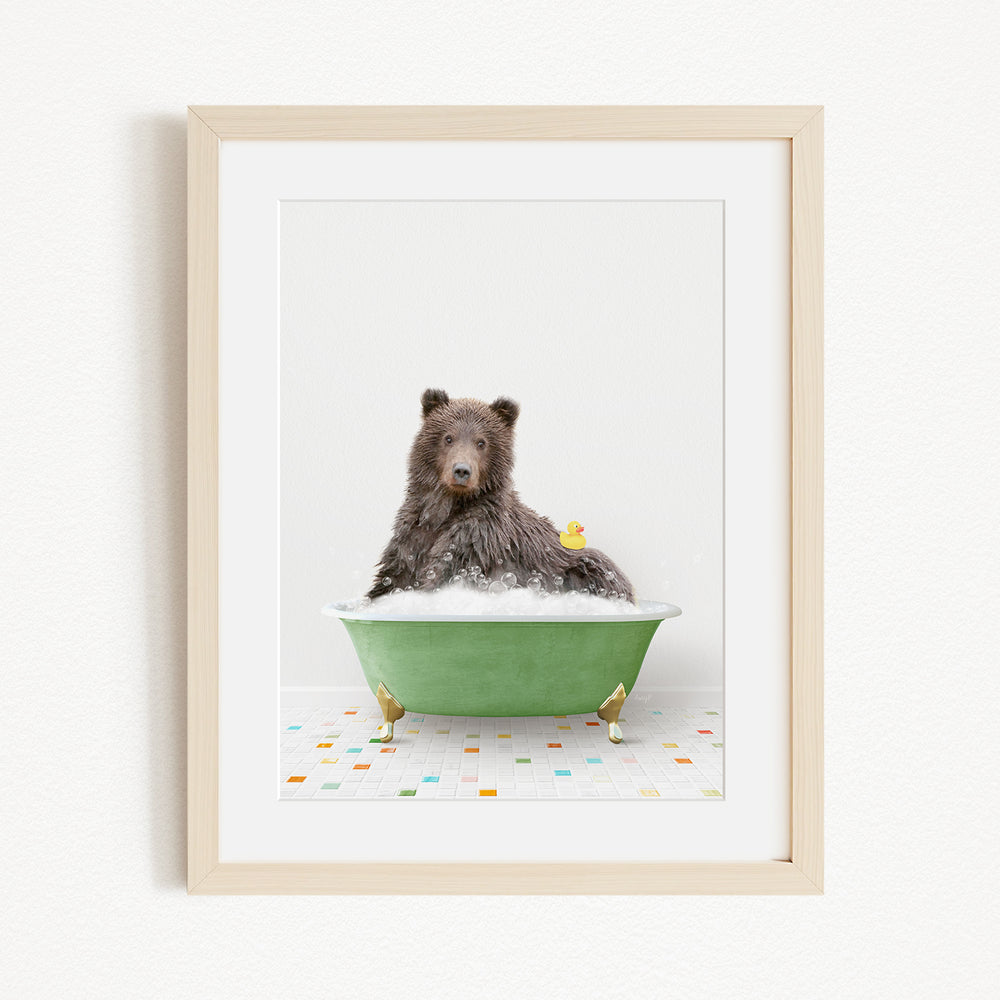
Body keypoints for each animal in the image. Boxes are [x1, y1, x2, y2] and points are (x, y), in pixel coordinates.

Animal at [366, 388, 635, 603]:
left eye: (481, 442)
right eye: (448, 437)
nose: (461, 470)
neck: (447, 508)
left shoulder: (477, 539)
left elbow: (444, 572)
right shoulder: (413, 535)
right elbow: (393, 577)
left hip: (587, 569)